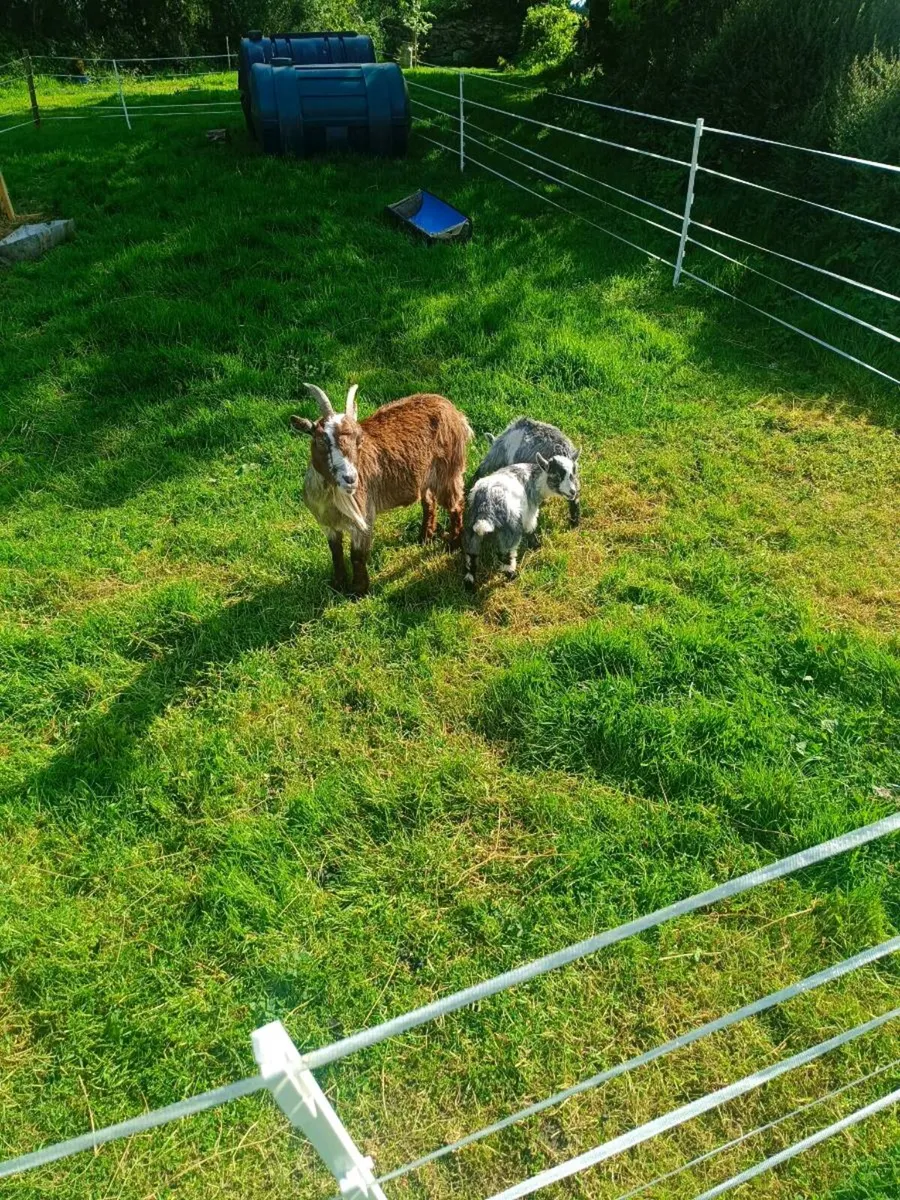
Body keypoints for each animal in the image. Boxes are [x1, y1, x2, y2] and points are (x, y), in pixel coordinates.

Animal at [292, 383, 472, 596]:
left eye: (359, 440)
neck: (331, 498)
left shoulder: (363, 519)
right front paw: (338, 585)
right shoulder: (327, 524)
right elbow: (335, 553)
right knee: (429, 502)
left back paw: (453, 544)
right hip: (426, 477)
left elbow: (357, 556)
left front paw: (358, 591)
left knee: (456, 505)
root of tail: (454, 411)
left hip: (449, 470)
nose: (350, 479)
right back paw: (424, 538)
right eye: (320, 440)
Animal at [462, 454, 579, 590]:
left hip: (471, 526)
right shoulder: (530, 510)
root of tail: (485, 508)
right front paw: (536, 545)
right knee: (505, 552)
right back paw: (512, 575)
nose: (573, 492)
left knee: (471, 555)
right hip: (510, 527)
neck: (535, 478)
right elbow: (530, 526)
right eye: (557, 476)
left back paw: (469, 585)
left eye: (573, 474)